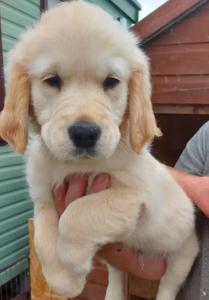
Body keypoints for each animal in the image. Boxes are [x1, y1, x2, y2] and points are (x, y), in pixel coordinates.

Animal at [0, 1, 199, 298]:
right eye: (52, 80)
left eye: (111, 81)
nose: (85, 133)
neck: (77, 166)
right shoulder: (44, 196)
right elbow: (44, 240)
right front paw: (63, 280)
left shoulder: (135, 196)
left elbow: (75, 215)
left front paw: (74, 266)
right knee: (117, 274)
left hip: (183, 253)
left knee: (169, 283)